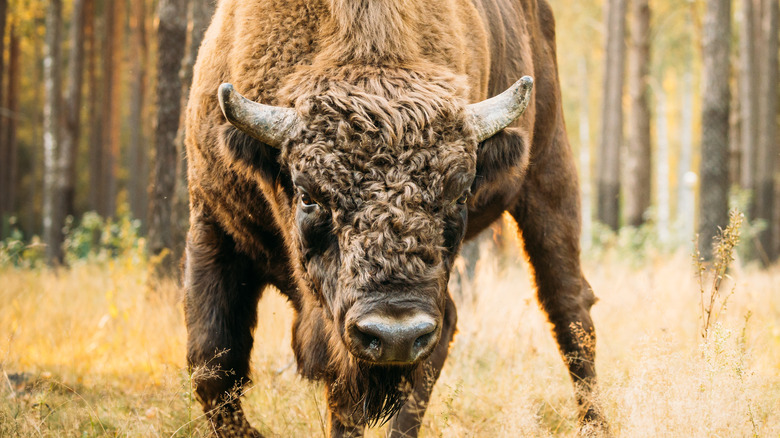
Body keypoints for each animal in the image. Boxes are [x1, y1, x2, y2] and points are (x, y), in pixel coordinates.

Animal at [183, 0, 604, 436]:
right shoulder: (213, 223)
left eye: (459, 194)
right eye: (308, 195)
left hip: (549, 173)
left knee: (568, 306)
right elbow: (212, 360)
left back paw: (596, 422)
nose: (396, 334)